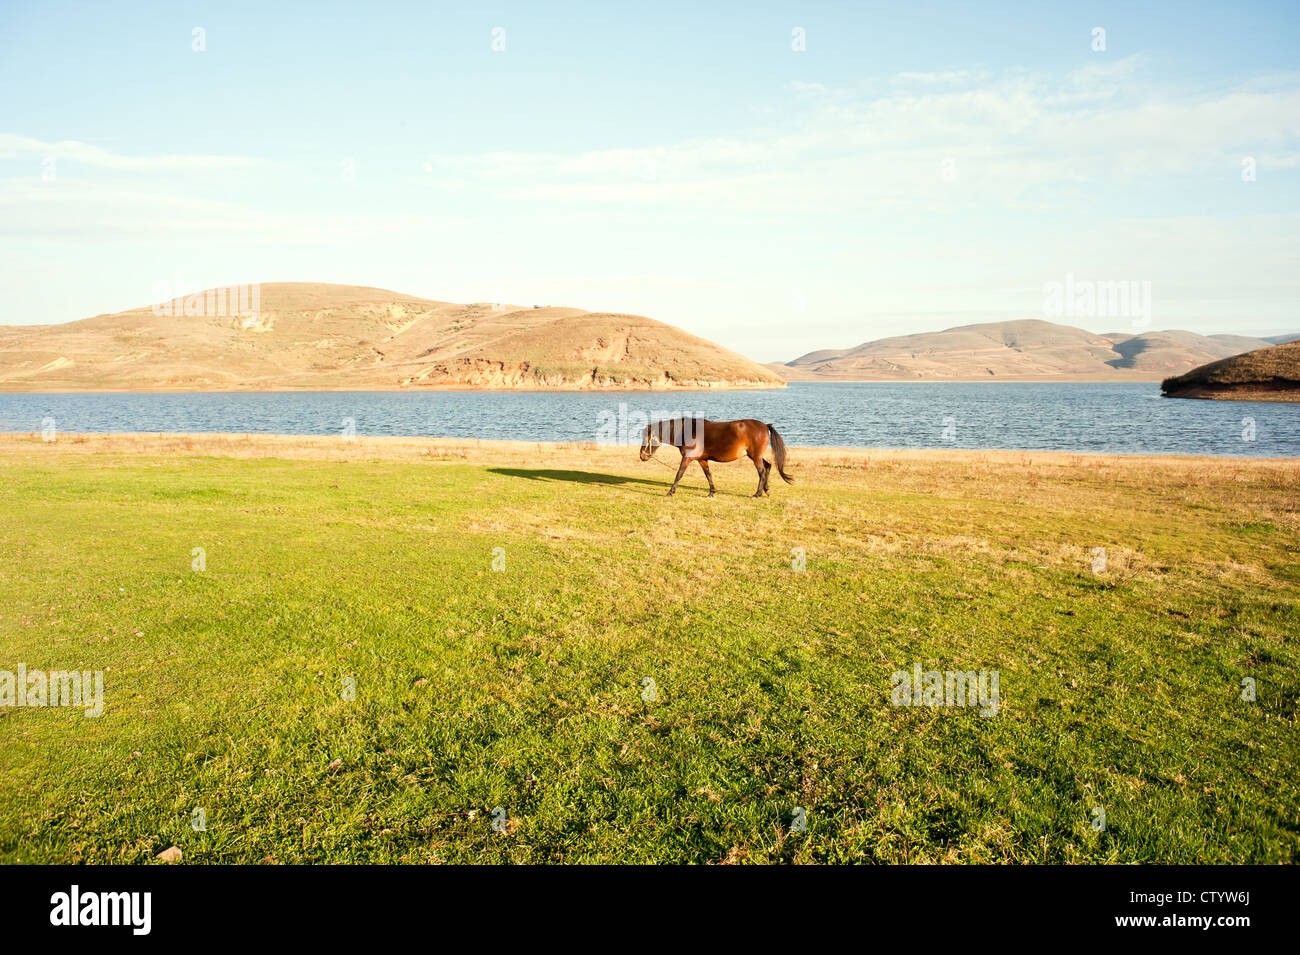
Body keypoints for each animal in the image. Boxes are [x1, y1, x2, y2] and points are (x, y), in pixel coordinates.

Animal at [639, 418, 794, 497]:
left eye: (646, 438)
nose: (642, 456)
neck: (686, 431)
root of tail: (765, 426)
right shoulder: (702, 460)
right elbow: (708, 475)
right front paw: (712, 492)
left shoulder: (687, 459)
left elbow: (679, 474)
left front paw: (670, 492)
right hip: (755, 456)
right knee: (767, 467)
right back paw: (766, 490)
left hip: (755, 457)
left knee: (762, 472)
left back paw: (757, 493)